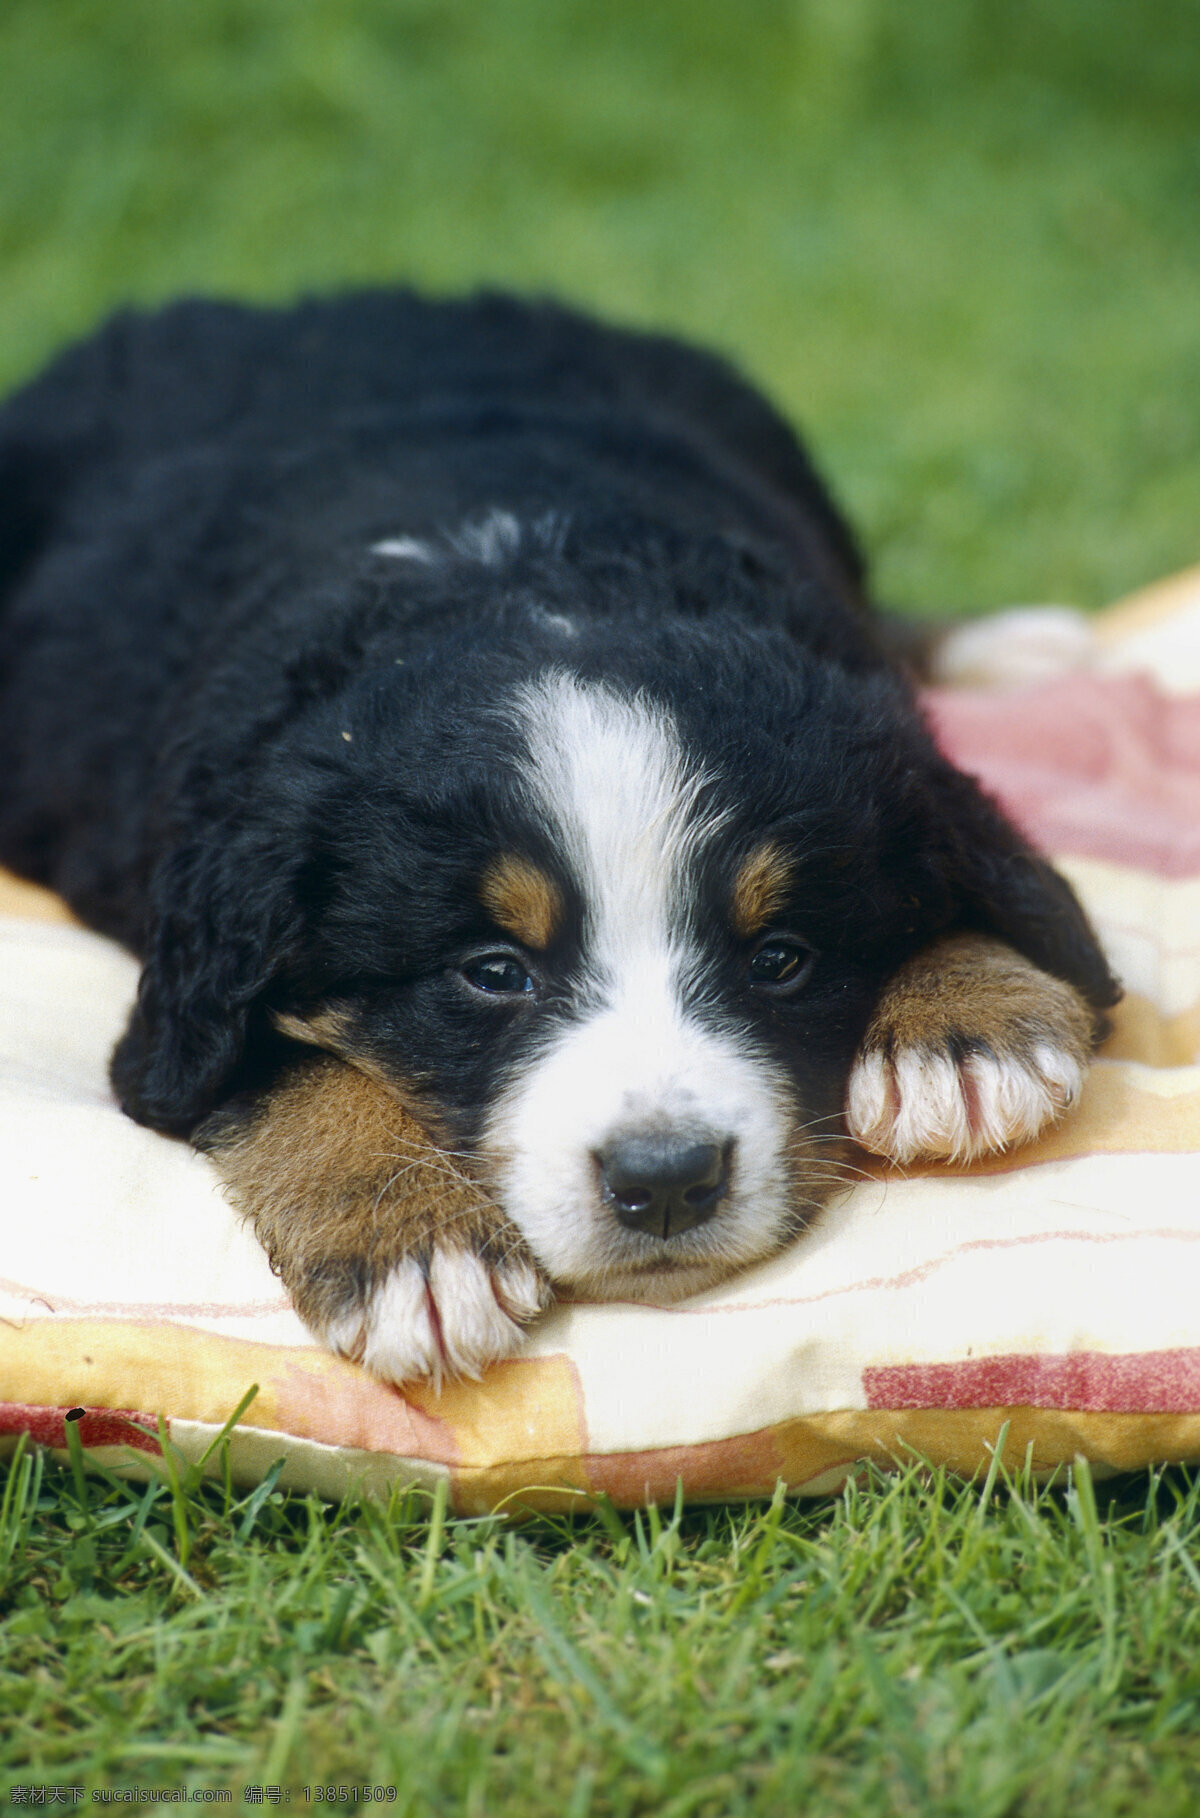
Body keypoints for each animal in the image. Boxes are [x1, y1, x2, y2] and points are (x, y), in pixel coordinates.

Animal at [0, 290, 1120, 1381]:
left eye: (781, 959)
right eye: (494, 973)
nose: (665, 1180)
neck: (530, 578)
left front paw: (965, 1028)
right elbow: (278, 1071)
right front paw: (413, 1244)